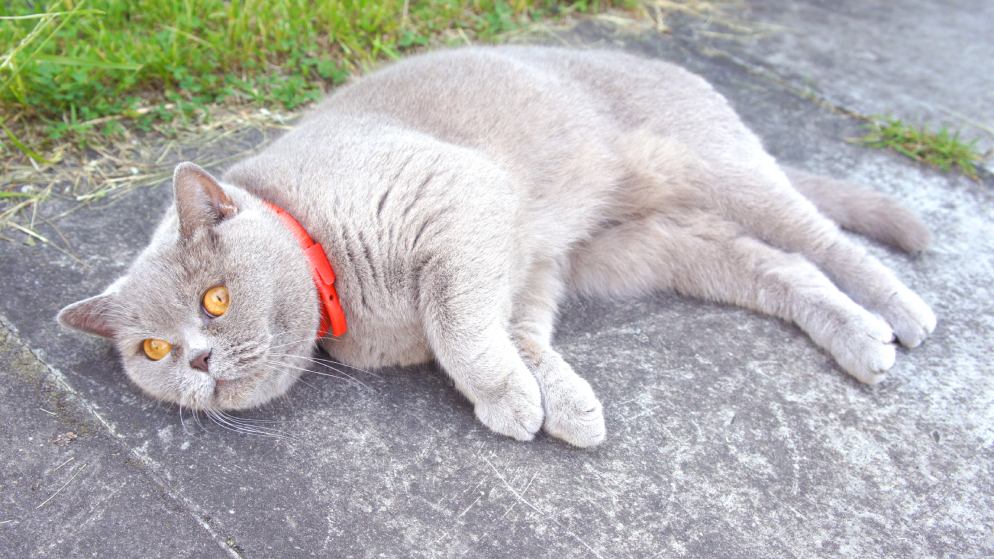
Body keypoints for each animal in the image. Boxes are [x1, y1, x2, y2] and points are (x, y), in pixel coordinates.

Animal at [58, 47, 932, 450]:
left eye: (215, 298)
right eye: (154, 349)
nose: (199, 360)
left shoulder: (457, 200)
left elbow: (459, 329)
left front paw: (511, 399)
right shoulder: (531, 267)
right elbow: (516, 335)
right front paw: (562, 403)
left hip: (719, 166)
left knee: (821, 239)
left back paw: (901, 314)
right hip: (654, 246)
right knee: (781, 268)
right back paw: (860, 339)